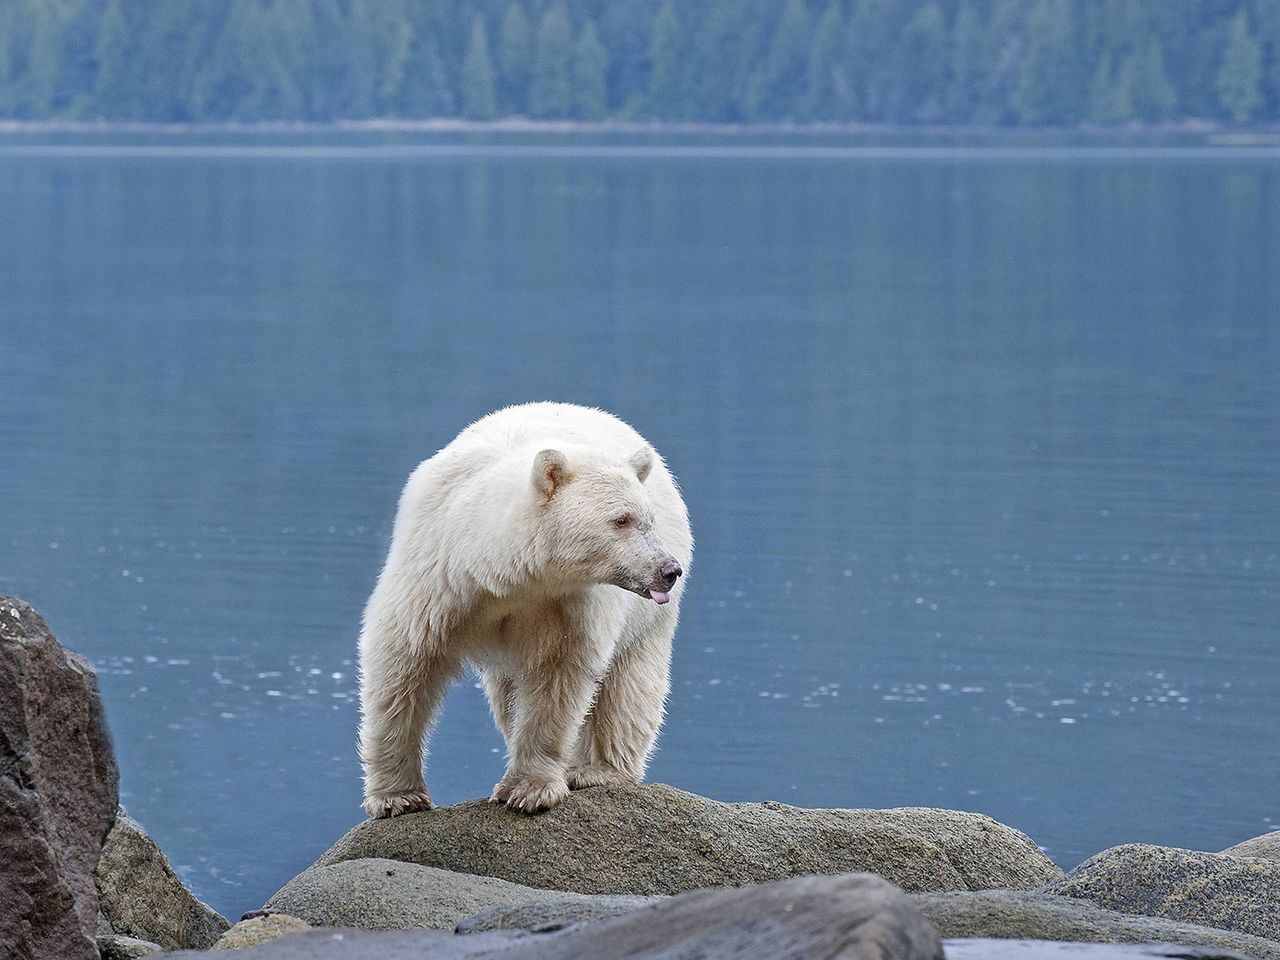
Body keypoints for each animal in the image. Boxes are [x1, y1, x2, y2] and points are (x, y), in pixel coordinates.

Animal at [357, 402, 693, 818]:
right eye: (621, 519)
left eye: (648, 519)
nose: (668, 570)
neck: (498, 568)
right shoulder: (438, 576)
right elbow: (402, 662)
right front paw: (398, 797)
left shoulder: (566, 604)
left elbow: (557, 679)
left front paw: (528, 789)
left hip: (648, 621)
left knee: (629, 683)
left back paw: (597, 769)